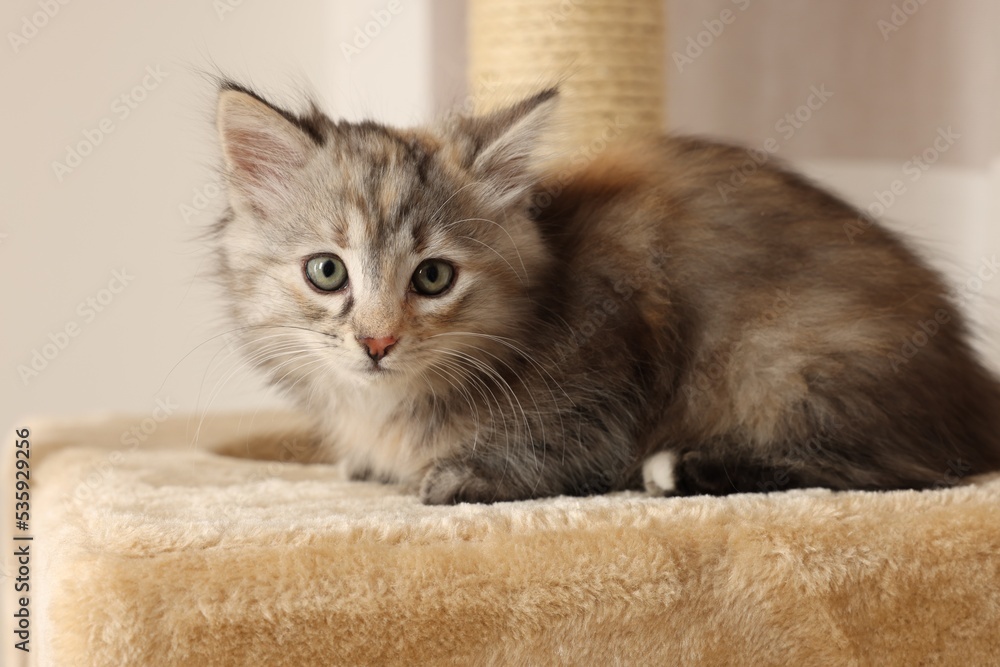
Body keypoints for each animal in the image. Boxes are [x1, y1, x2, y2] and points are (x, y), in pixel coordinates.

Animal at [209, 81, 1000, 504]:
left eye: (433, 277)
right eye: (327, 271)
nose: (377, 341)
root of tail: (972, 382)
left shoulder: (613, 367)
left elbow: (555, 451)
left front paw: (456, 474)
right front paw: (371, 460)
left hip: (777, 356)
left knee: (901, 470)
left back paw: (678, 467)